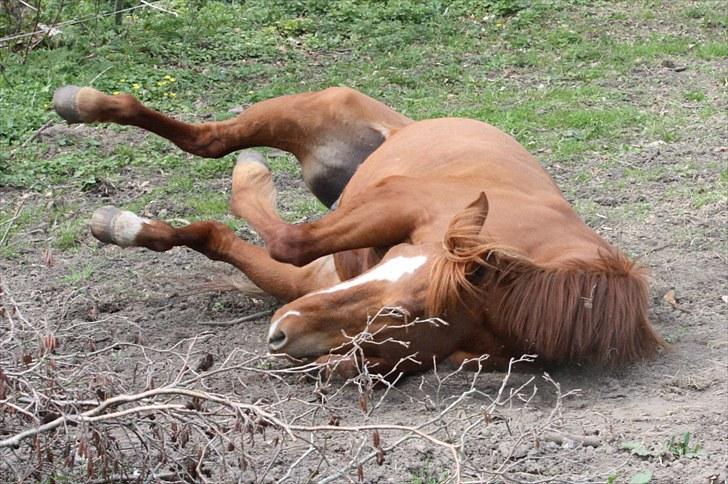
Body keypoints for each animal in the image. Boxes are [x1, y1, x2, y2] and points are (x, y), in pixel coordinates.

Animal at [51, 86, 664, 374]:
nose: (284, 330)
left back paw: (134, 220)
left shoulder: (323, 282)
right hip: (319, 111)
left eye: (406, 319)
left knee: (220, 225)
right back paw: (84, 103)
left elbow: (246, 241)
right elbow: (292, 239)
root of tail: (406, 125)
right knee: (212, 142)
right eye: (398, 270)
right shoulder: (400, 203)